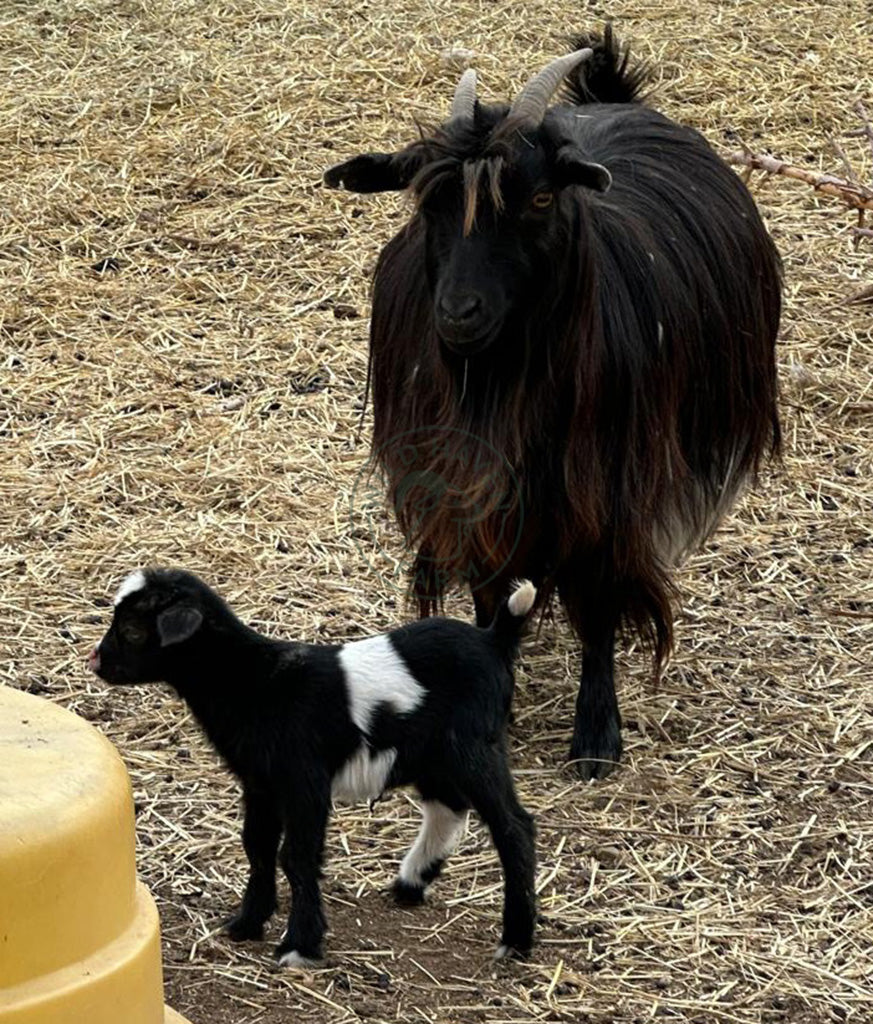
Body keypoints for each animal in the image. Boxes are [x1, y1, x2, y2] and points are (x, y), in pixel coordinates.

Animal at [323, 25, 781, 774]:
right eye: (429, 203)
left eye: (539, 201)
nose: (458, 314)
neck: (502, 387)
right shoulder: (470, 486)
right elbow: (488, 592)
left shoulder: (606, 491)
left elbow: (597, 602)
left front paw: (596, 738)